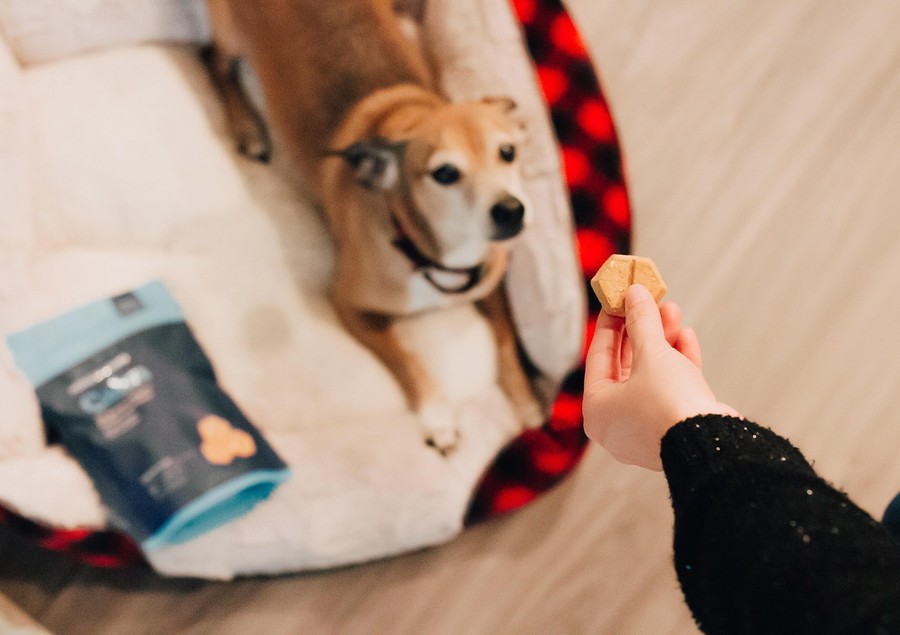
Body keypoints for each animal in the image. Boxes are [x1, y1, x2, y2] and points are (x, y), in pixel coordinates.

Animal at [204, 0, 540, 452]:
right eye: (445, 174)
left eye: (507, 152)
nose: (510, 210)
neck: (433, 256)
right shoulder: (349, 305)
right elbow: (405, 358)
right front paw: (437, 415)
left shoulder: (492, 287)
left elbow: (506, 342)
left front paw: (526, 401)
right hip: (230, 36)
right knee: (212, 58)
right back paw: (247, 127)